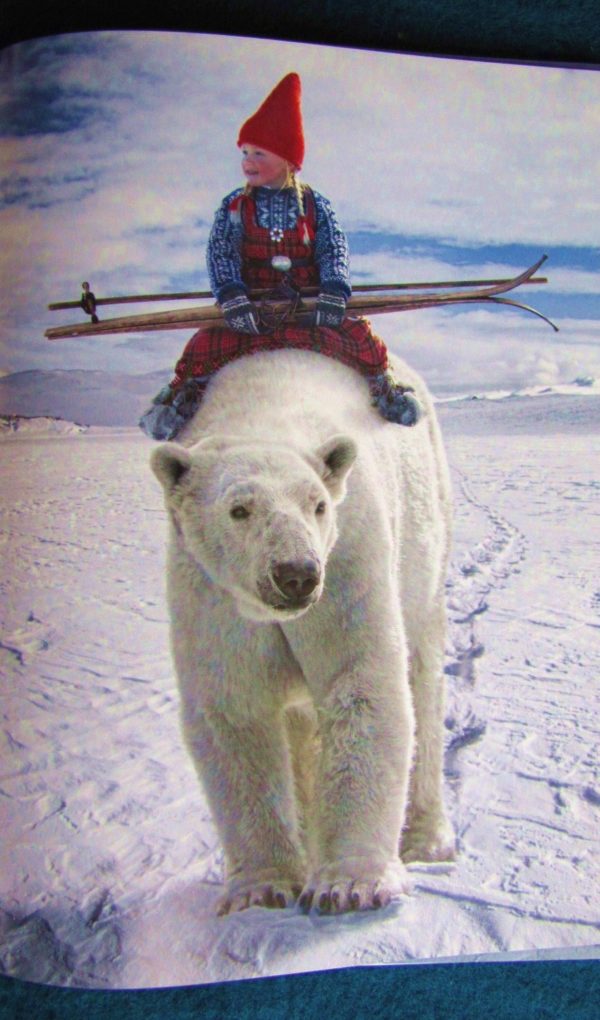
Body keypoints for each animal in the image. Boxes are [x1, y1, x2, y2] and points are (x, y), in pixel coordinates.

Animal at [150, 348, 455, 916]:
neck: (263, 410)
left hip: (428, 534)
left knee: (423, 680)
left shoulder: (349, 552)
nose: (296, 574)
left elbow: (360, 681)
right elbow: (236, 709)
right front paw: (262, 889)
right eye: (239, 508)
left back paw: (427, 839)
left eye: (317, 503)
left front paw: (351, 885)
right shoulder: (211, 591)